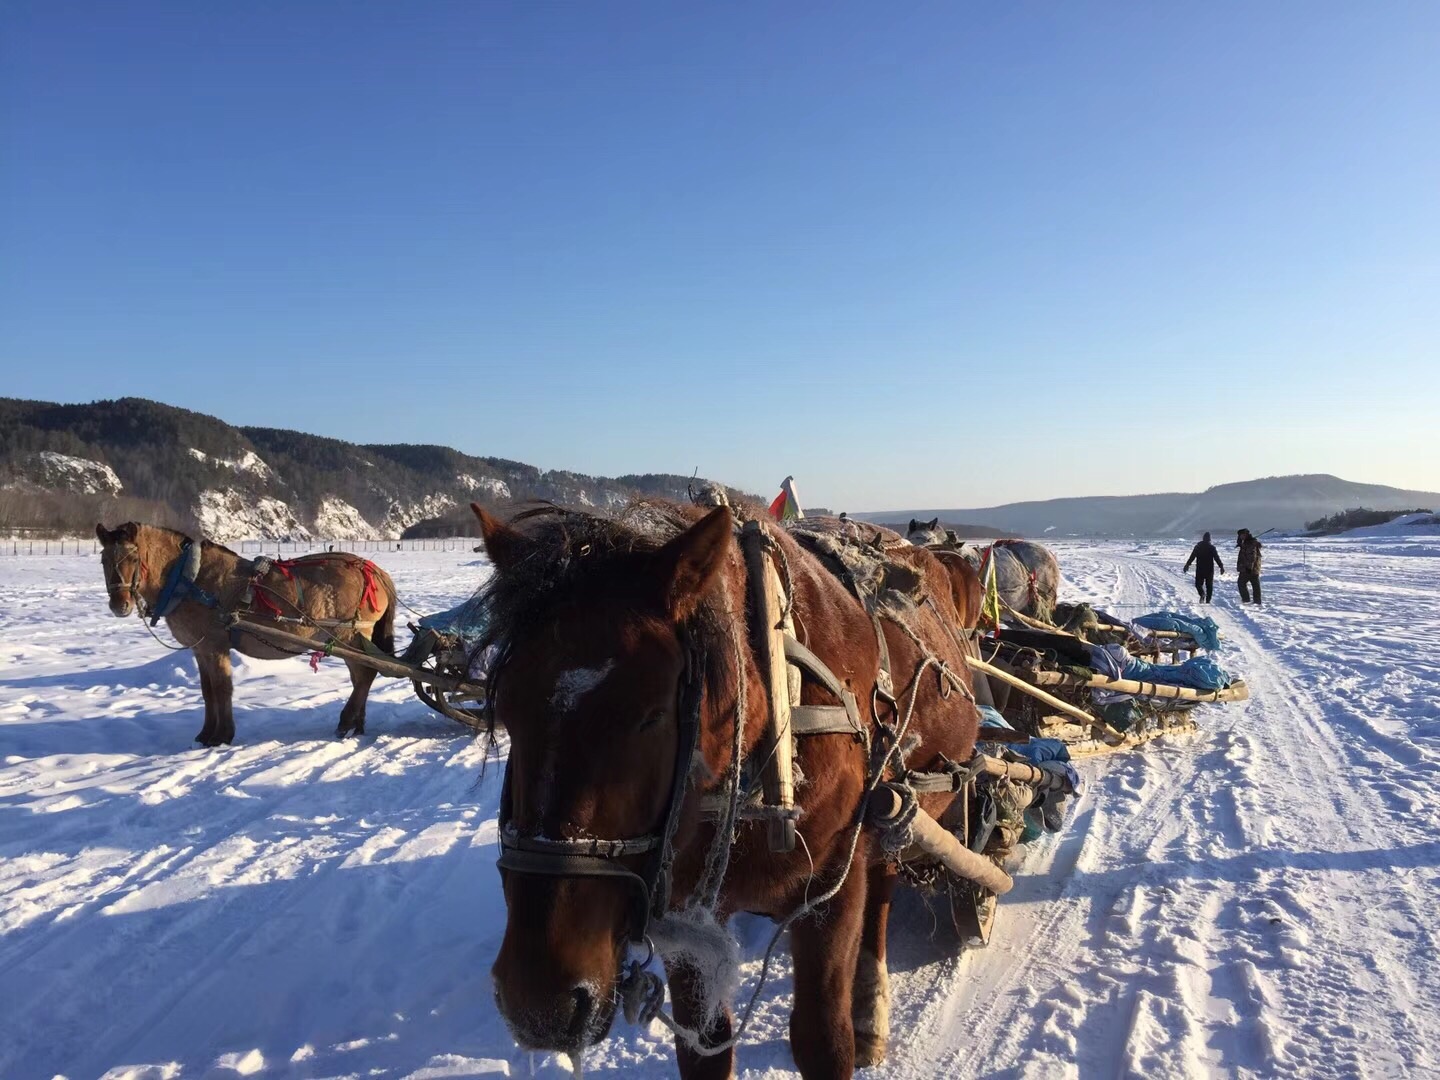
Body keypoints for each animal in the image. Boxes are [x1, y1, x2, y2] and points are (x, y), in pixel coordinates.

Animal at [95, 521, 397, 743]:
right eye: (103, 559)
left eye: (133, 556)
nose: (119, 605)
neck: (190, 580)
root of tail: (375, 571)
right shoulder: (200, 648)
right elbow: (207, 690)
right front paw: (205, 734)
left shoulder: (215, 645)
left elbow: (222, 688)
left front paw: (222, 735)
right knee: (361, 677)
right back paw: (356, 723)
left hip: (348, 636)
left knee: (365, 675)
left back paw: (347, 721)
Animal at [472, 504, 979, 1080]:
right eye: (506, 709)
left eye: (652, 714)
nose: (539, 1005)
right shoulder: (687, 917)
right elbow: (704, 1048)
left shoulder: (833, 889)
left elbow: (824, 1040)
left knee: (885, 883)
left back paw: (871, 1009)